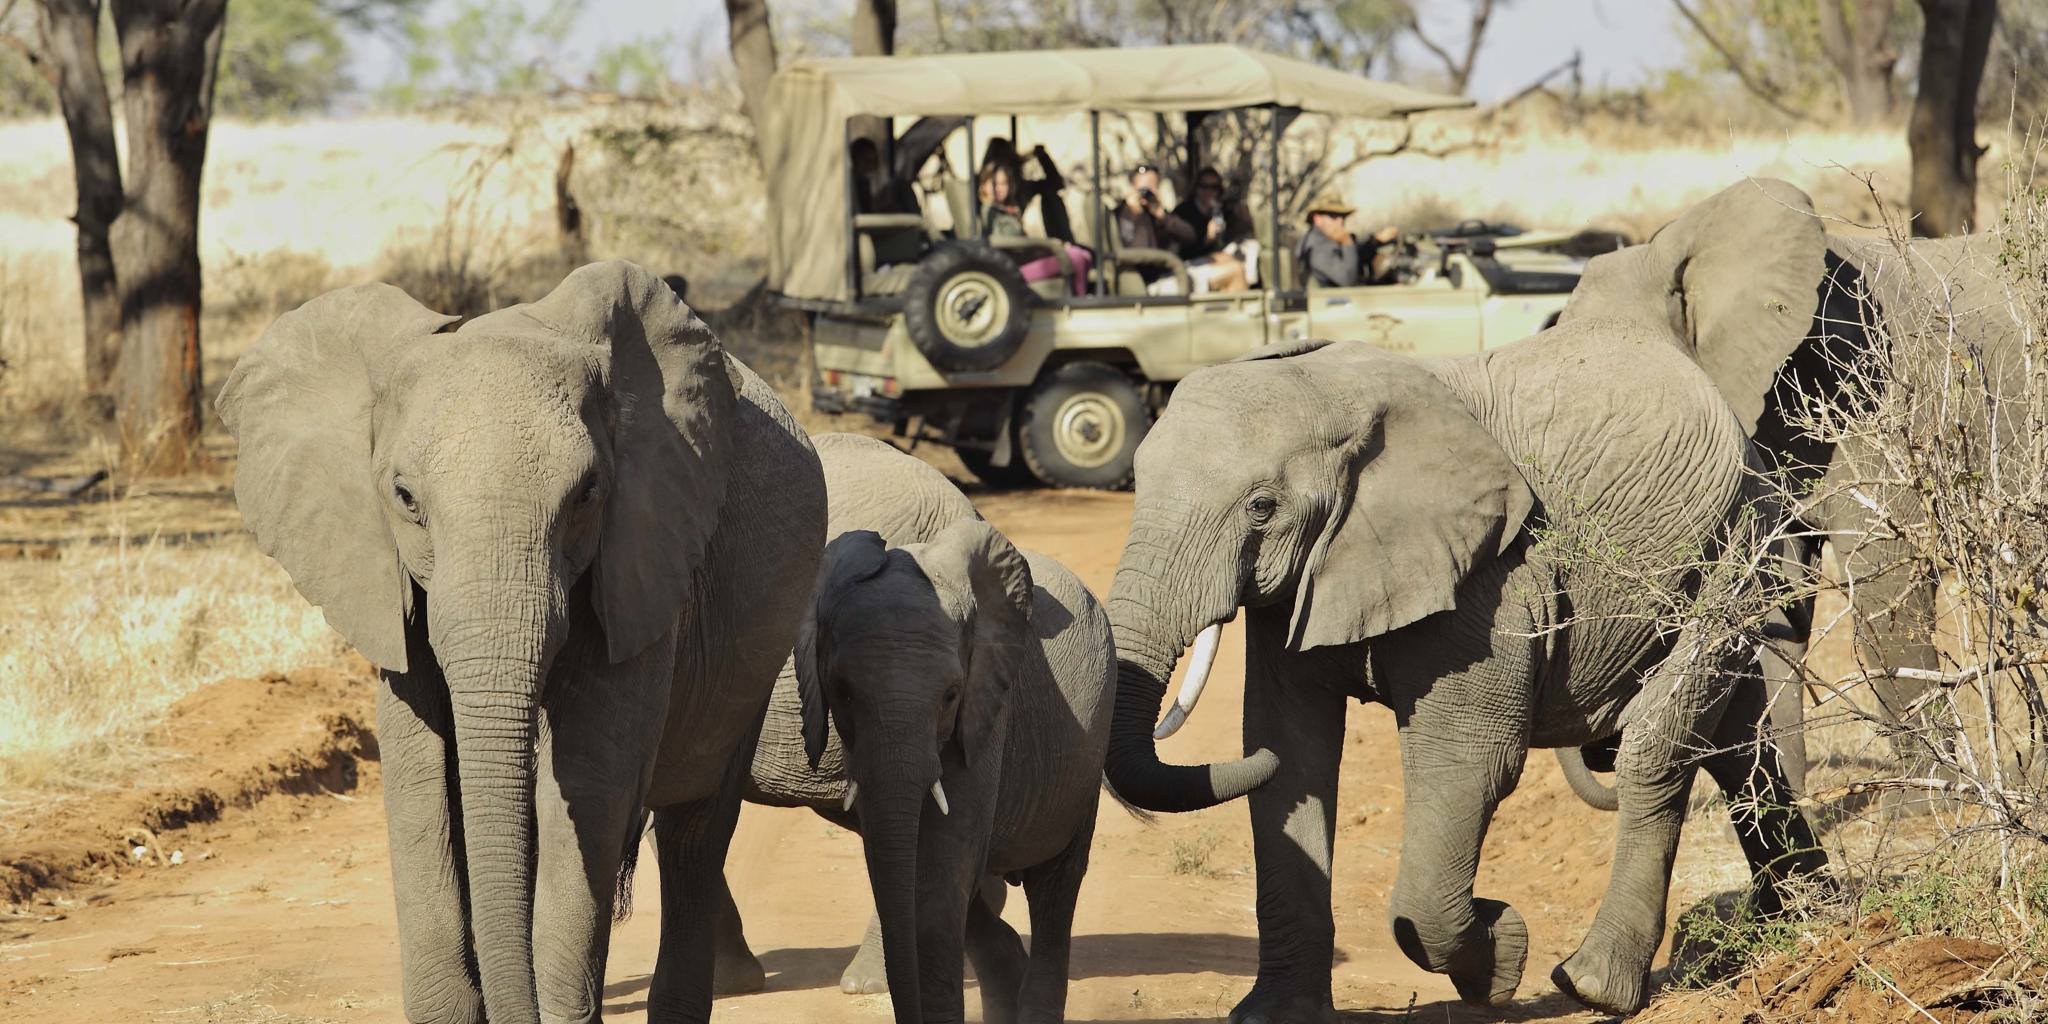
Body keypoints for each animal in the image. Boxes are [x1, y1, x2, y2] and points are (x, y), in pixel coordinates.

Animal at [216, 260, 828, 1024]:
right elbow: (420, 772)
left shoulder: (642, 557)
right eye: (405, 497)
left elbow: (591, 778)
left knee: (693, 835)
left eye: (588, 493)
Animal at [1099, 329, 1830, 1020]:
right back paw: (1803, 925)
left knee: (1660, 741)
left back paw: (1595, 986)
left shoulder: (1491, 580)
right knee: (1734, 741)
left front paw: (1501, 957)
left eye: (1261, 506)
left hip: (1733, 545)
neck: (1335, 391)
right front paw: (1271, 1016)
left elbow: (1465, 761)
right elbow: (1296, 755)